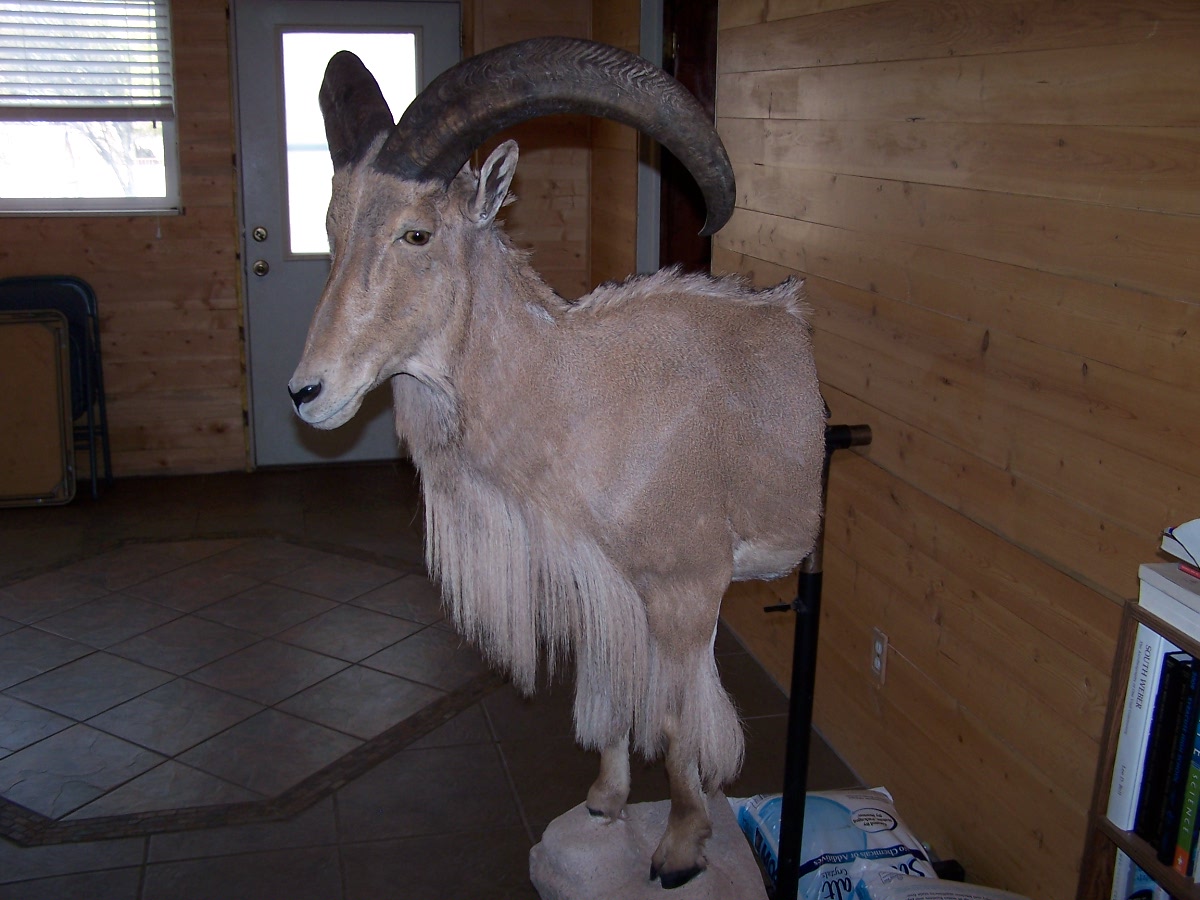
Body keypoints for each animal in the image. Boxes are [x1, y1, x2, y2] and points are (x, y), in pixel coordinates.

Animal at [288, 37, 826, 889]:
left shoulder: (686, 589)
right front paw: (605, 801)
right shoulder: (599, 582)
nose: (308, 393)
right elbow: (606, 689)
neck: (580, 395)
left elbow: (676, 712)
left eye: (417, 234)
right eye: (334, 228)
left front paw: (681, 848)